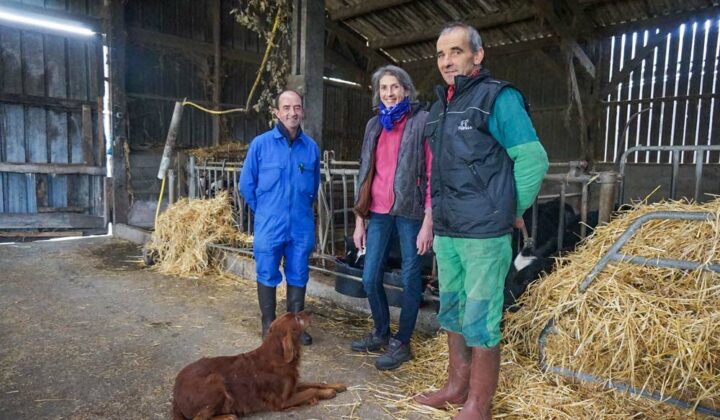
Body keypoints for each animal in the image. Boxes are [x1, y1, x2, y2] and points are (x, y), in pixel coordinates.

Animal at [172, 310, 346, 418]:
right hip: (216, 382)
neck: (277, 356)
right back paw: (229, 416)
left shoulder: (293, 385)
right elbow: (310, 390)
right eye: (298, 318)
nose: (310, 310)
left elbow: (315, 383)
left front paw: (335, 386)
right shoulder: (282, 401)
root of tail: (175, 393)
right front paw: (326, 394)